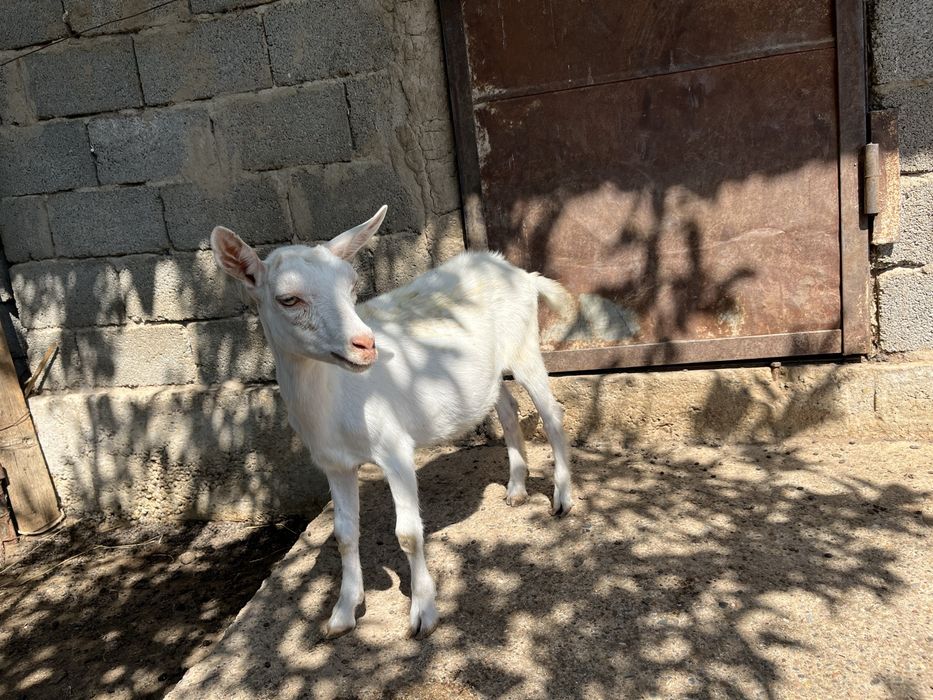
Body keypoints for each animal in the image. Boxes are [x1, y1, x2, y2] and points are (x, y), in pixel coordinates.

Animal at [210, 205, 573, 639]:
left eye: (352, 287)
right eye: (288, 299)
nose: (366, 345)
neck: (334, 403)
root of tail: (520, 273)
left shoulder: (394, 447)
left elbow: (408, 533)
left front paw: (423, 614)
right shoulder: (333, 462)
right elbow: (345, 534)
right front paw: (342, 614)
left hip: (525, 347)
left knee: (551, 414)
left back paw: (562, 499)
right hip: (486, 373)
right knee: (505, 407)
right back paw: (516, 488)